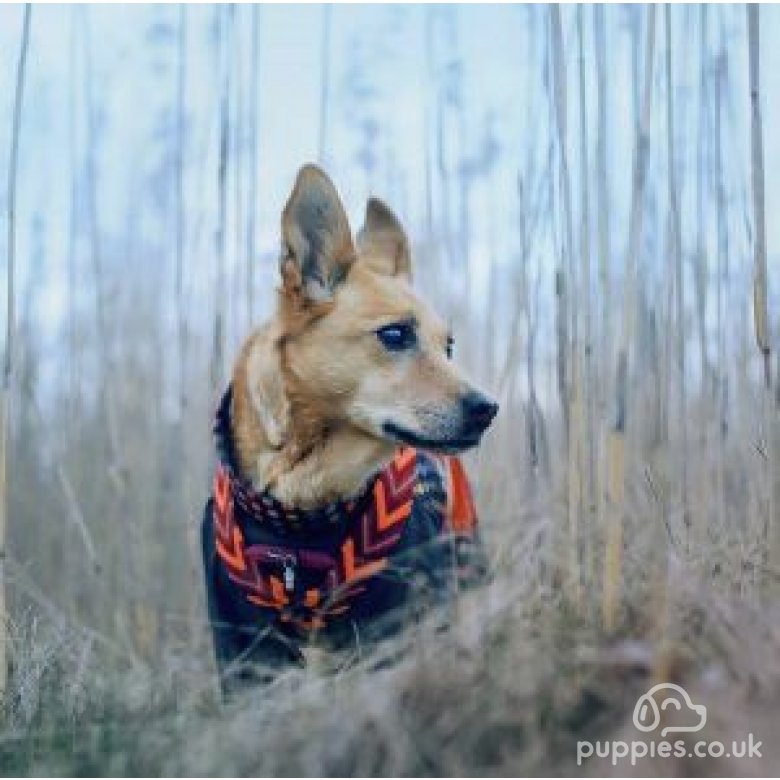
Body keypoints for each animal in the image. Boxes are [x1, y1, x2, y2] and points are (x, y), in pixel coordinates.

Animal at [201, 166, 500, 696]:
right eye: (395, 334)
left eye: (448, 346)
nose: (488, 409)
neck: (299, 510)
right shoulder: (244, 654)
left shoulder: (394, 627)